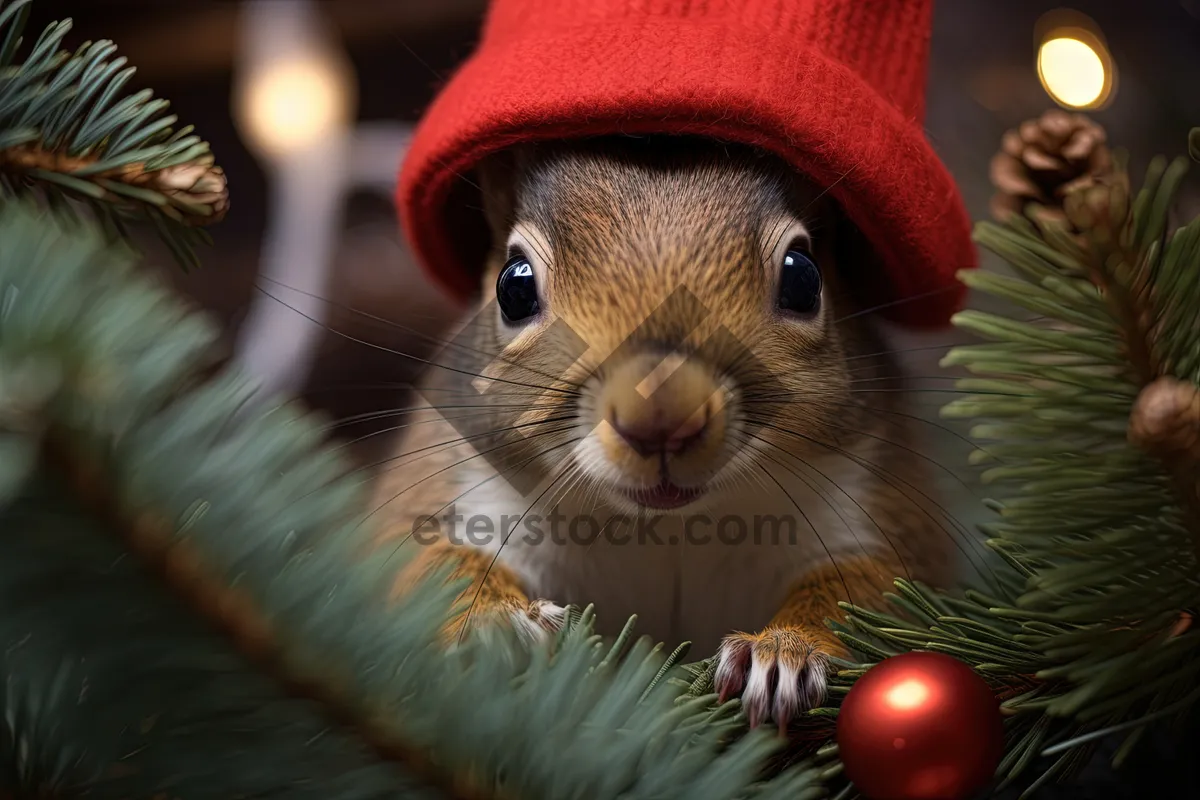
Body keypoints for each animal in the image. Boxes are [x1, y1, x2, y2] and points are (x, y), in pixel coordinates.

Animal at [374, 137, 955, 734]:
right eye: (513, 287)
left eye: (804, 278)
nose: (660, 419)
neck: (667, 529)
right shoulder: (467, 488)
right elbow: (421, 561)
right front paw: (494, 623)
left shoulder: (874, 502)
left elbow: (875, 589)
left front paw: (782, 653)